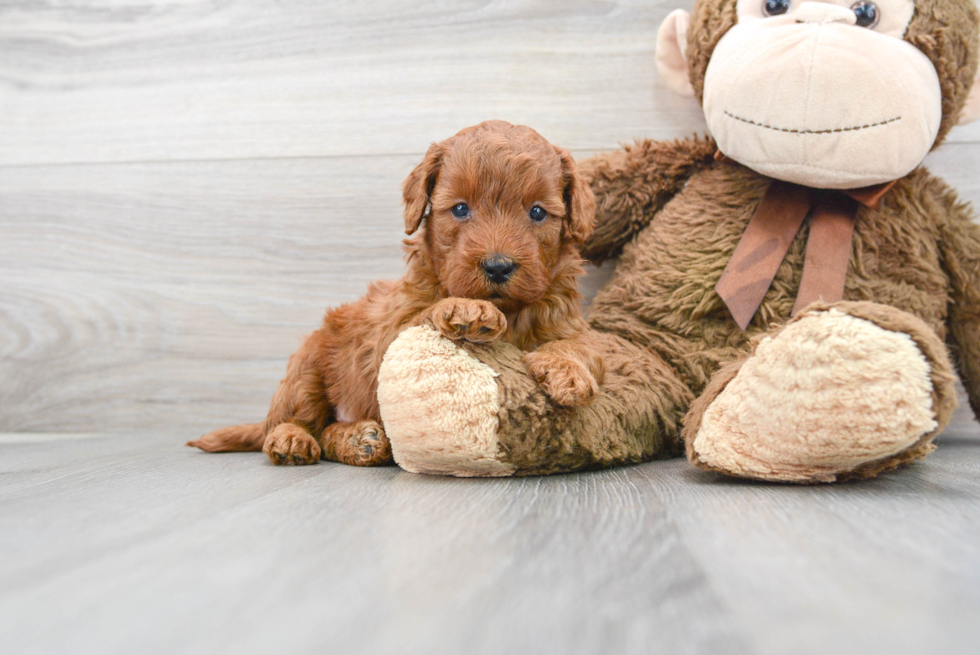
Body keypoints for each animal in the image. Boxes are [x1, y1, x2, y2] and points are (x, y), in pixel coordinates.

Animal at [189, 121, 604, 466]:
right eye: (460, 209)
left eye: (537, 212)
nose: (498, 265)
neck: (512, 311)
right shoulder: (389, 335)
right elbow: (419, 318)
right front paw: (466, 308)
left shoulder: (570, 324)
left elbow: (584, 346)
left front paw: (568, 372)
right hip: (307, 363)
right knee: (297, 422)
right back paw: (293, 439)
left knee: (327, 432)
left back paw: (362, 441)